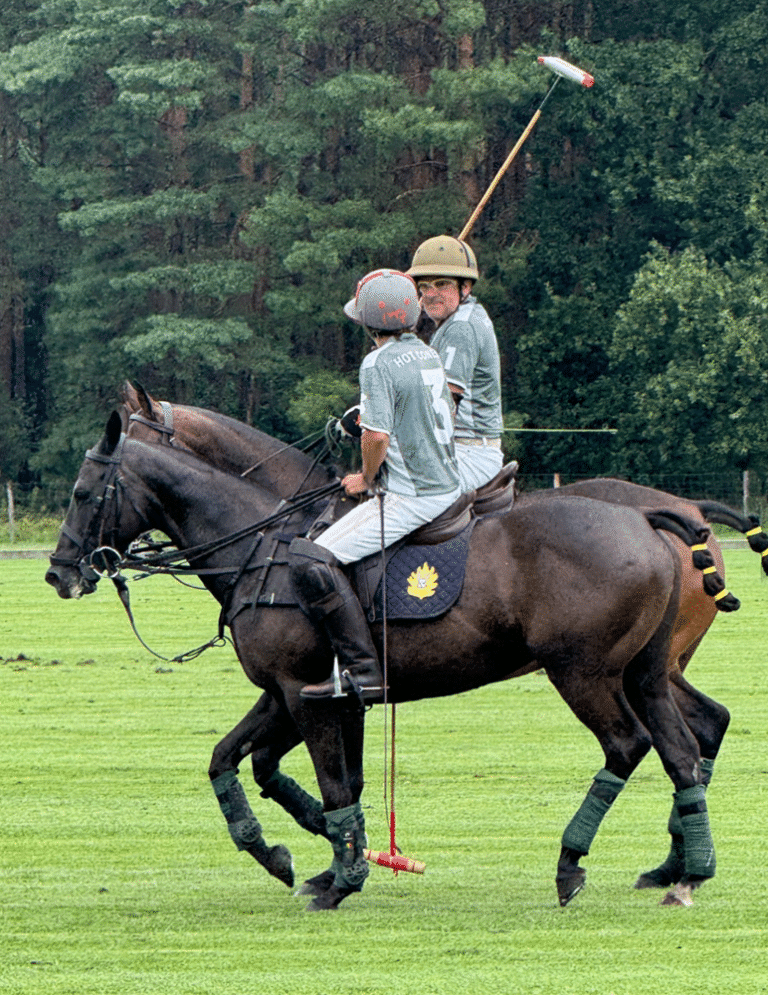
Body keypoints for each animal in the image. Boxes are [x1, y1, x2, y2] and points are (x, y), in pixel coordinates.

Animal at [46, 410, 720, 912]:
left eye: (82, 492)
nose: (59, 573)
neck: (261, 544)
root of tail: (646, 517)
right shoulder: (298, 694)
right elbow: (235, 762)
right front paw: (294, 857)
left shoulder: (304, 690)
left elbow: (330, 781)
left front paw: (342, 876)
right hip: (646, 671)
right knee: (683, 748)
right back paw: (687, 873)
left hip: (582, 672)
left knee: (628, 745)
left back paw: (571, 864)